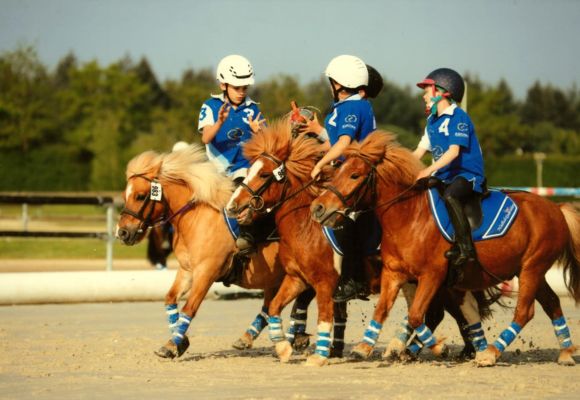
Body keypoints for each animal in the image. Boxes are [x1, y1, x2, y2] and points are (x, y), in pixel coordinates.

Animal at [115, 145, 286, 358]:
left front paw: (172, 344)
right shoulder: (187, 271)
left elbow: (189, 308)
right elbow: (170, 299)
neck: (197, 219)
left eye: (139, 196)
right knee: (271, 306)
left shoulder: (206, 273)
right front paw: (180, 341)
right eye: (125, 196)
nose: (122, 232)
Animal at [310, 131, 580, 366]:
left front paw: (438, 347)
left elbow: (416, 314)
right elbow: (383, 309)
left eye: (355, 175)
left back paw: (490, 353)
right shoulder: (394, 274)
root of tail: (556, 208)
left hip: (531, 269)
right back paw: (566, 353)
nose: (318, 208)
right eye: (338, 171)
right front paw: (364, 347)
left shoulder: (432, 276)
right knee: (552, 303)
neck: (409, 217)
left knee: (524, 312)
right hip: (529, 271)